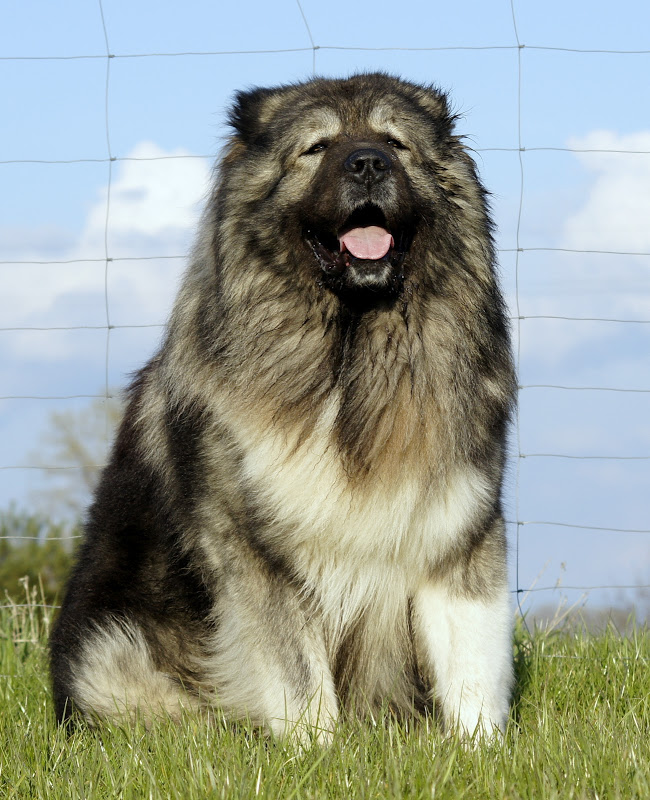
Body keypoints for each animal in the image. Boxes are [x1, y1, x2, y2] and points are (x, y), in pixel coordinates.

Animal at [50, 73, 516, 742]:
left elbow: (473, 665)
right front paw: (317, 749)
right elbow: (299, 678)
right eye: (317, 148)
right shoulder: (259, 558)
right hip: (109, 652)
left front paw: (479, 748)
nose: (368, 163)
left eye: (395, 144)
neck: (350, 358)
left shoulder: (459, 532)